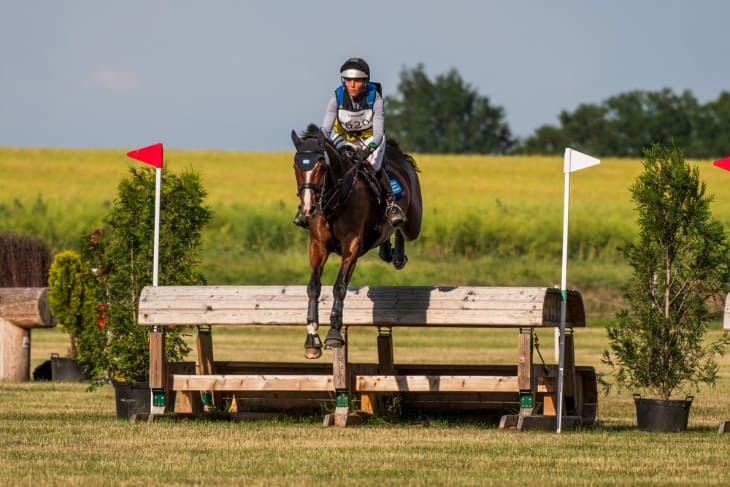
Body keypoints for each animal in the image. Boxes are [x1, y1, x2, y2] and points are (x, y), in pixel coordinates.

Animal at [288, 124, 418, 360]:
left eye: (321, 166)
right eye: (296, 166)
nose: (308, 208)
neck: (335, 201)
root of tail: (397, 153)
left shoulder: (352, 246)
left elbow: (339, 286)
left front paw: (333, 334)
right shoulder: (318, 246)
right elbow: (313, 287)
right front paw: (312, 339)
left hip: (414, 221)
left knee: (402, 228)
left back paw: (397, 245)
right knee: (387, 240)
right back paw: (388, 251)